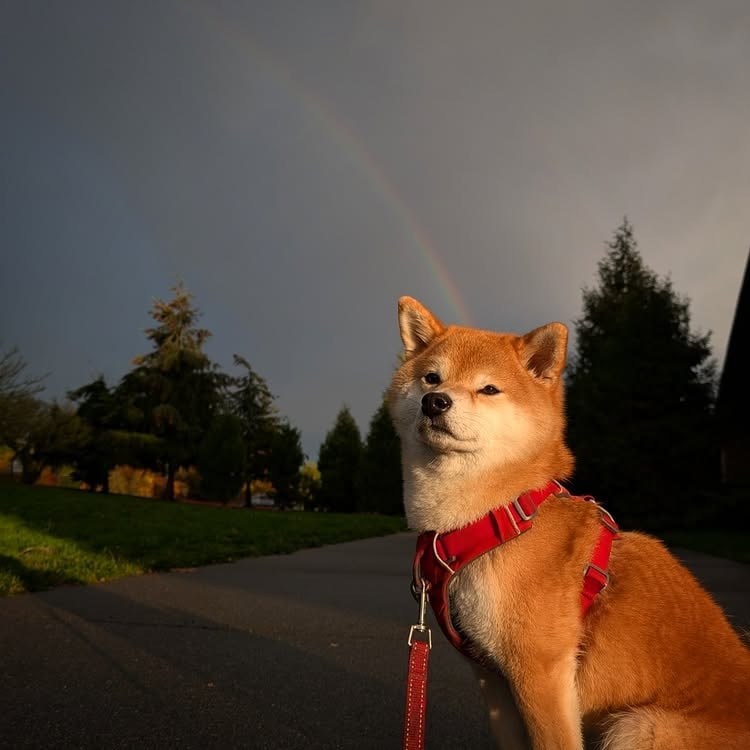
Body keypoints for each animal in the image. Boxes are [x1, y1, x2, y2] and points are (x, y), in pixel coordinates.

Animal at [388, 296, 750, 750]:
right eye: (431, 378)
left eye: (488, 389)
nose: (435, 401)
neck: (496, 518)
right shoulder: (493, 678)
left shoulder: (541, 672)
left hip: (635, 726)